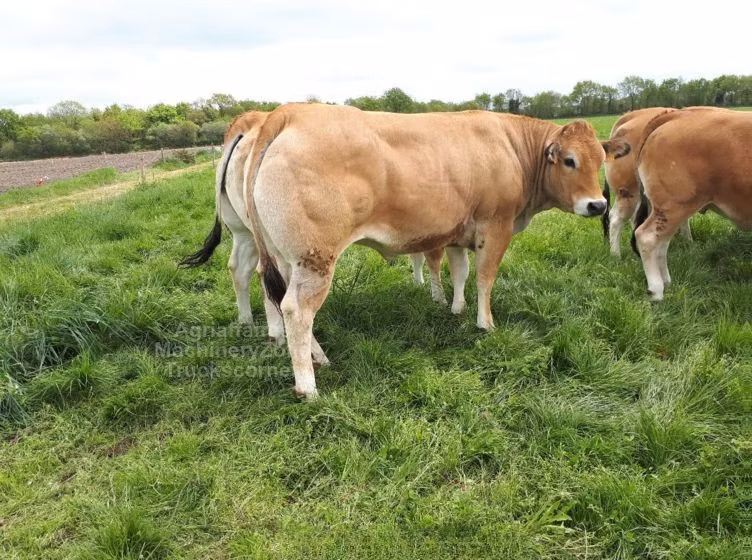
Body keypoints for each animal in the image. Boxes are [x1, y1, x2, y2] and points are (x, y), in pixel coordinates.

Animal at [243, 103, 631, 398]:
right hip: (316, 259)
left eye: (600, 159)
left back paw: (319, 358)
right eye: (569, 160)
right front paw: (485, 323)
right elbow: (485, 278)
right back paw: (308, 387)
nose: (597, 205)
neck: (512, 148)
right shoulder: (496, 226)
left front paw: (457, 309)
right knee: (297, 311)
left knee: (286, 302)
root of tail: (291, 111)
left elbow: (460, 272)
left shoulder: (457, 232)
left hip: (288, 260)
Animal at [631, 108, 752, 301]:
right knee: (647, 236)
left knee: (662, 242)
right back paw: (656, 289)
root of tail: (678, 113)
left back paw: (666, 281)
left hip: (670, 209)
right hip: (674, 204)